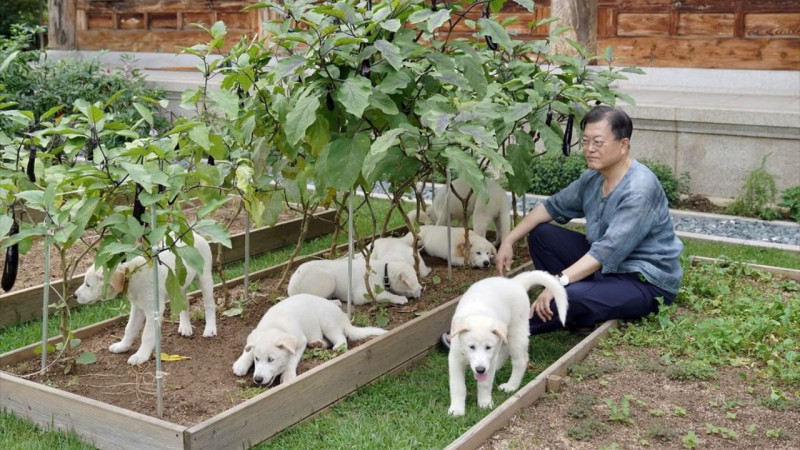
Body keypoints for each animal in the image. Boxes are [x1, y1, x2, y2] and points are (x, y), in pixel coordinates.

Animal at [231, 294, 388, 384]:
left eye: (271, 360)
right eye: (257, 359)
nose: (257, 379)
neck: (276, 326)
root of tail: (344, 317)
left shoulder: (300, 341)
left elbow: (292, 359)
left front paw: (288, 375)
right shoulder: (256, 334)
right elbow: (249, 348)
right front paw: (241, 363)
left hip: (328, 322)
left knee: (341, 338)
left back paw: (337, 346)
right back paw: (317, 343)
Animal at [290, 256, 424, 306]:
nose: (421, 289)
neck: (384, 270)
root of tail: (291, 288)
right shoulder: (364, 294)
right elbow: (385, 295)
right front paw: (399, 299)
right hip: (328, 279)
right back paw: (336, 302)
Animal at [446, 268, 564, 416]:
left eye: (488, 347)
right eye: (471, 347)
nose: (480, 370)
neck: (478, 313)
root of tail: (515, 282)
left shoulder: (489, 358)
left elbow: (485, 384)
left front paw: (485, 403)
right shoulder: (455, 359)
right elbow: (458, 386)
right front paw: (456, 409)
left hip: (517, 332)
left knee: (520, 360)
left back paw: (511, 386)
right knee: (504, 351)